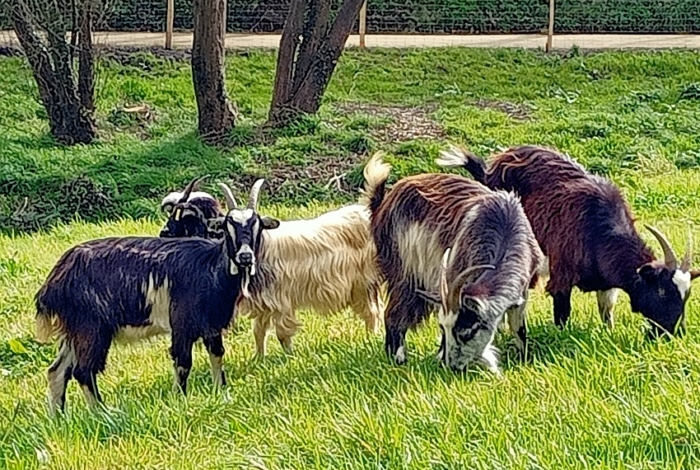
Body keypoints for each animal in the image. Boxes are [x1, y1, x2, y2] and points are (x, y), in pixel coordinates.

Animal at [33, 178, 278, 414]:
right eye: (228, 226)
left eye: (257, 226)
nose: (245, 256)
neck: (209, 265)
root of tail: (54, 280)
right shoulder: (181, 323)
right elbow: (183, 362)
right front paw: (180, 400)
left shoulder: (212, 325)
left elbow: (217, 355)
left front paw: (222, 394)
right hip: (91, 328)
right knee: (83, 371)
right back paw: (105, 414)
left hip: (73, 330)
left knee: (57, 371)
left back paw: (59, 417)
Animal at [161, 181, 386, 356]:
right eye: (228, 226)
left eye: (256, 224)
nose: (163, 233)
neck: (263, 248)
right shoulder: (262, 303)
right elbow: (259, 332)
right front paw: (259, 359)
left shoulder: (281, 300)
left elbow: (282, 334)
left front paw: (289, 358)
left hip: (363, 284)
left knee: (371, 313)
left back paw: (369, 339)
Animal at [364, 152, 544, 372]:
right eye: (443, 328)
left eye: (466, 332)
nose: (451, 366)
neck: (504, 228)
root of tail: (382, 204)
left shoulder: (523, 289)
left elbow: (519, 328)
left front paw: (523, 358)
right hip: (405, 272)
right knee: (394, 313)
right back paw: (398, 359)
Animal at [438, 145, 700, 336]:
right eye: (662, 291)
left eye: (686, 295)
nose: (674, 333)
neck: (597, 229)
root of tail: (489, 171)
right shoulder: (561, 274)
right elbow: (562, 313)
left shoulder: (606, 284)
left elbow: (606, 312)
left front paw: (608, 334)